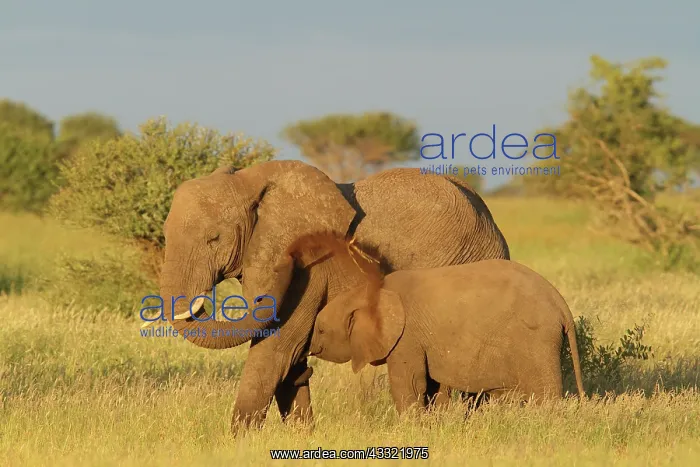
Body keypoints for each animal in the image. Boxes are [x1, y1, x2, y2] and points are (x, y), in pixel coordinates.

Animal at [158, 160, 510, 433]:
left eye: (213, 238)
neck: (252, 180)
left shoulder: (311, 271)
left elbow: (278, 346)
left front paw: (238, 444)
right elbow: (283, 348)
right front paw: (302, 437)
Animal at [297, 232, 586, 413]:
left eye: (320, 329)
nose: (307, 353)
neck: (372, 291)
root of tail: (561, 304)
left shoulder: (407, 337)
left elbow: (411, 383)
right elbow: (432, 385)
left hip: (537, 341)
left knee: (544, 395)